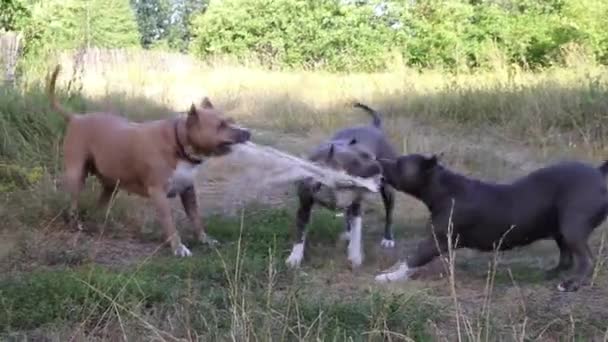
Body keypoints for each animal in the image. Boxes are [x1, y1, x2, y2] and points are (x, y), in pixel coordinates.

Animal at [46, 65, 252, 256]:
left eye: (231, 120)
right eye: (221, 125)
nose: (247, 132)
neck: (179, 144)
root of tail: (76, 118)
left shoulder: (188, 190)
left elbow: (196, 219)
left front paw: (204, 239)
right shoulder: (158, 193)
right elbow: (170, 223)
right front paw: (178, 248)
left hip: (111, 183)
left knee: (100, 207)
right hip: (77, 174)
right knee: (73, 202)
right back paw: (76, 223)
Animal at [286, 103, 400, 268]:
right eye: (363, 159)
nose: (382, 168)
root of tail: (374, 127)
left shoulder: (357, 204)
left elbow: (357, 232)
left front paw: (355, 256)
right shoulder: (304, 206)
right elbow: (300, 234)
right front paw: (294, 257)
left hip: (388, 192)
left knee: (388, 215)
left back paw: (388, 238)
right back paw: (347, 232)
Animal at [376, 155, 608, 292]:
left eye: (399, 163)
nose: (379, 159)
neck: (443, 189)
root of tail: (598, 172)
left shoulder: (436, 241)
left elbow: (412, 260)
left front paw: (389, 277)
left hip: (572, 226)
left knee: (586, 259)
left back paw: (572, 284)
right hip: (559, 227)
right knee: (566, 258)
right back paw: (552, 273)